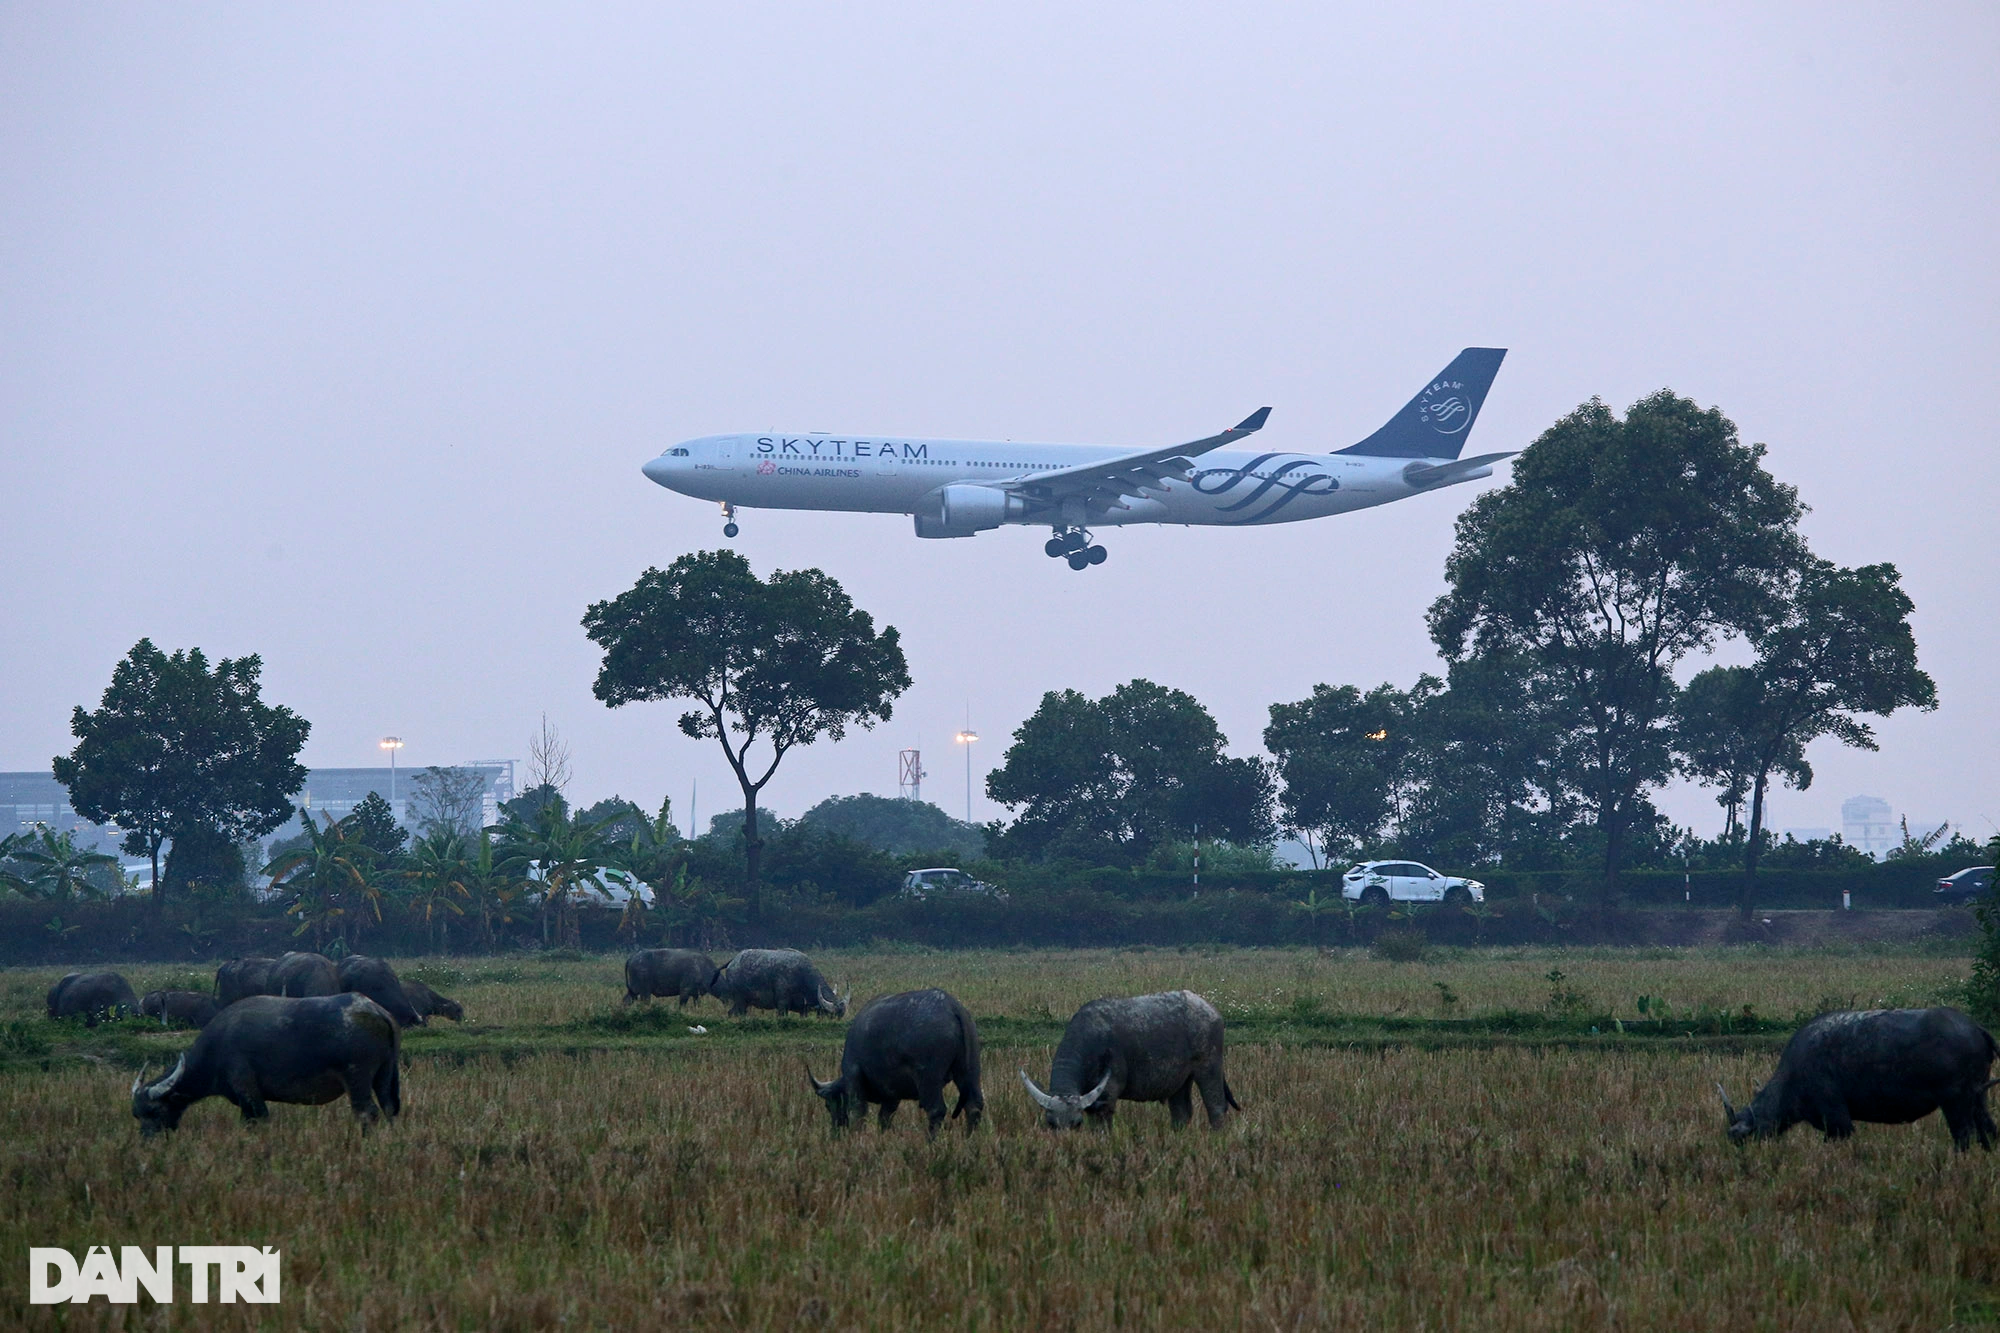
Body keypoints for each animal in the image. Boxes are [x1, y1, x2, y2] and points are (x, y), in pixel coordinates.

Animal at [130, 984, 402, 1128]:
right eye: (136, 1115)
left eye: (154, 1111)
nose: (147, 1139)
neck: (216, 1048)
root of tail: (378, 1011)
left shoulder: (249, 1092)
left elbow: (258, 1120)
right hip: (385, 1074)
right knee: (389, 1107)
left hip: (358, 1078)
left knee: (367, 1112)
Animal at [716, 944, 848, 1016]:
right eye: (830, 1015)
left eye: (840, 1016)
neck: (801, 975)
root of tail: (733, 962)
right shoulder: (782, 1005)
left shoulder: (803, 1009)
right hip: (740, 1000)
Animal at [800, 984, 980, 1128]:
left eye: (829, 1105)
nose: (835, 1129)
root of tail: (953, 1007)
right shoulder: (892, 1094)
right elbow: (884, 1118)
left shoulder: (854, 1078)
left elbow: (858, 1114)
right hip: (970, 1071)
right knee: (974, 1107)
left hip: (929, 1078)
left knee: (936, 1110)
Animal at [1024, 980, 1240, 1128]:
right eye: (1051, 1123)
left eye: (1076, 1123)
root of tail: (1213, 1011)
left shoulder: (1107, 1095)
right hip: (1180, 1080)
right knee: (1181, 1112)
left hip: (1209, 1067)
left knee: (1216, 1107)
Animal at [1720, 1000, 2000, 1144]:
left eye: (1741, 1138)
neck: (1794, 1079)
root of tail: (1975, 1028)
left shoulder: (1838, 1122)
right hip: (1978, 1097)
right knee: (1989, 1129)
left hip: (1954, 1100)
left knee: (1964, 1135)